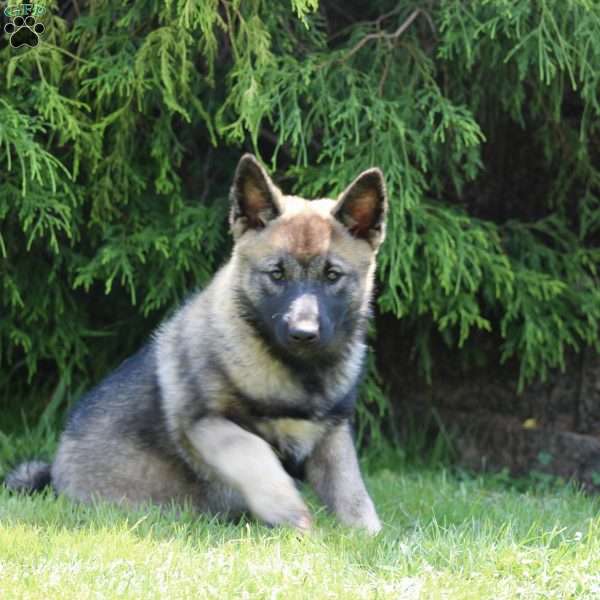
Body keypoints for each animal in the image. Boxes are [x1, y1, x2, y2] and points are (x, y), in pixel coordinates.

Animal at [5, 155, 390, 536]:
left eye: (332, 276)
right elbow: (253, 452)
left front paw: (368, 537)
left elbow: (352, 490)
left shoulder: (331, 434)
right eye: (277, 274)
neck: (297, 371)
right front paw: (286, 508)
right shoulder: (203, 422)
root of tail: (54, 477)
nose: (303, 333)